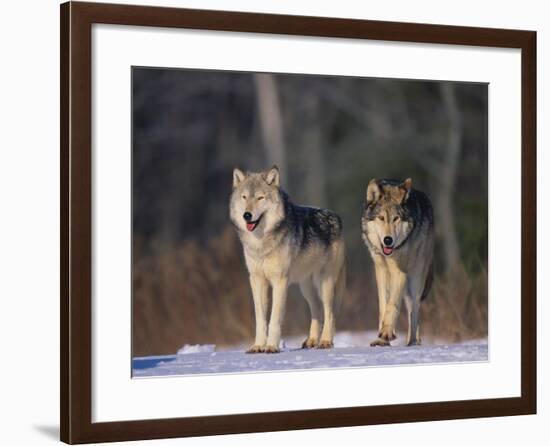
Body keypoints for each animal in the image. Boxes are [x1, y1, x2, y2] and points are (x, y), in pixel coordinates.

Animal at [230, 166, 344, 354]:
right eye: (244, 197)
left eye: (260, 197)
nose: (247, 215)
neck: (261, 243)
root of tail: (336, 216)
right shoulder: (257, 280)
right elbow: (260, 319)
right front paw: (258, 346)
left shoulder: (280, 280)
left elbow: (275, 317)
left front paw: (271, 346)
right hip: (306, 287)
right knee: (317, 311)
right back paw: (312, 340)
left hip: (324, 283)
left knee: (330, 312)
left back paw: (326, 341)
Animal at [362, 179, 436, 346]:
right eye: (381, 218)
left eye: (396, 218)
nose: (388, 240)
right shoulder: (381, 270)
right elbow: (383, 306)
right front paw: (381, 339)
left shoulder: (400, 271)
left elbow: (393, 305)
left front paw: (387, 333)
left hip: (415, 280)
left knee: (414, 310)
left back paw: (413, 342)